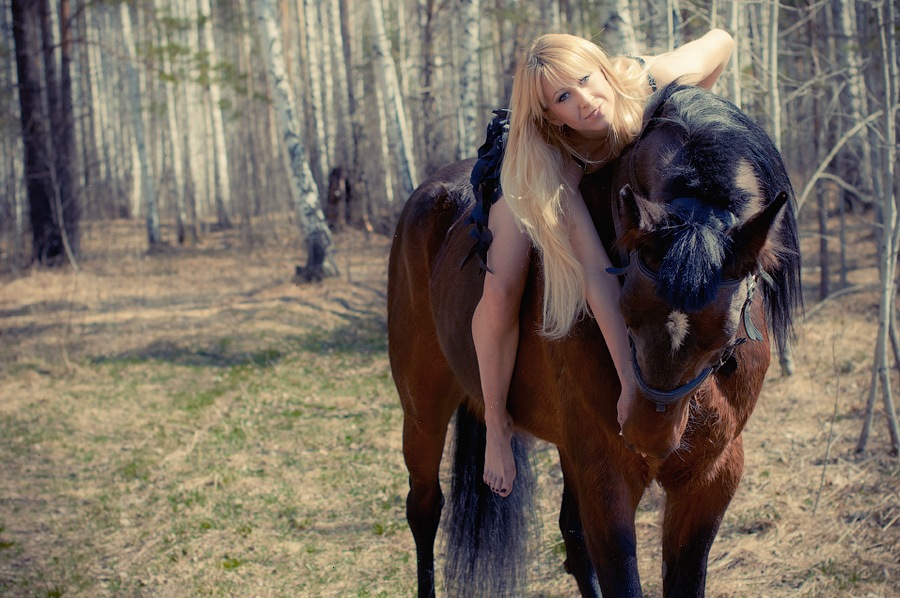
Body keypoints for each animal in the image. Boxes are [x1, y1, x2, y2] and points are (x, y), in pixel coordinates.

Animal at [386, 83, 802, 597]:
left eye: (723, 335)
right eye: (626, 308)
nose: (649, 434)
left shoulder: (710, 478)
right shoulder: (608, 477)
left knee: (571, 533)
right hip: (422, 409)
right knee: (424, 509)